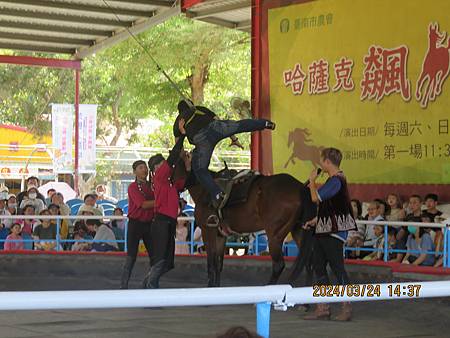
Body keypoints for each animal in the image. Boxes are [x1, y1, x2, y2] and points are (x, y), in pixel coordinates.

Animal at [174, 154, 314, 286]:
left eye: (174, 164)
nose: (170, 180)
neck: (205, 190)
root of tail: (300, 187)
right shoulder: (221, 235)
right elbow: (218, 264)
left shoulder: (208, 230)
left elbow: (211, 264)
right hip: (299, 230)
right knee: (309, 262)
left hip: (275, 235)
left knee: (279, 264)